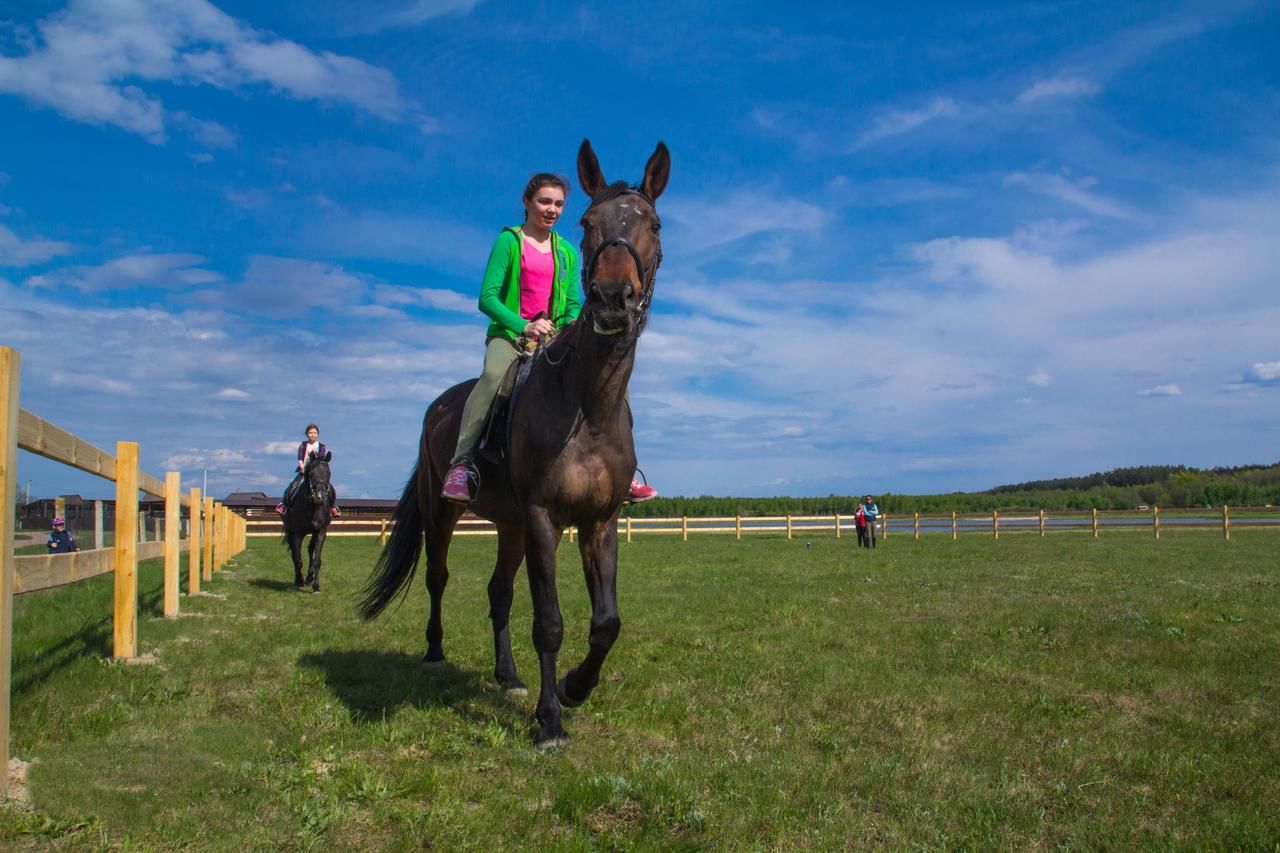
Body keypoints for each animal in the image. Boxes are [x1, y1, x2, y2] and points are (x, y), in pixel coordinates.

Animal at [355, 136, 665, 742]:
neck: (587, 408)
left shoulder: (598, 522)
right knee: (438, 577)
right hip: (445, 513)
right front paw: (549, 722)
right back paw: (435, 655)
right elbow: (549, 622)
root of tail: (438, 407)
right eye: (587, 223)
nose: (612, 298)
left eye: (653, 223)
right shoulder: (544, 517)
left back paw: (508, 675)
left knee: (498, 592)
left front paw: (573, 687)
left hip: (510, 525)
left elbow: (606, 623)